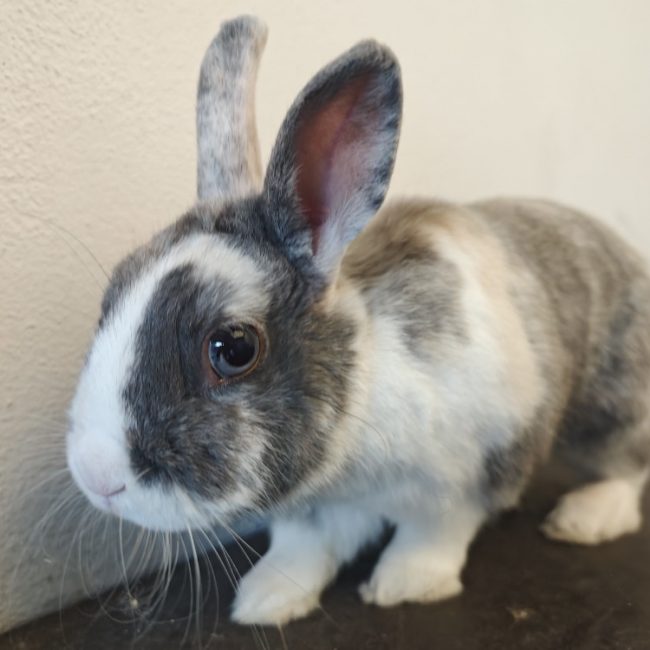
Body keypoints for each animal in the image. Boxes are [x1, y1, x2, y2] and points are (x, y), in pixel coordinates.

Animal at [66, 15, 650, 626]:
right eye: (111, 295)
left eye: (232, 347)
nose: (97, 476)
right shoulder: (314, 509)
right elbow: (302, 551)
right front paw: (264, 600)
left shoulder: (466, 477)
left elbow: (432, 537)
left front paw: (402, 584)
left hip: (608, 405)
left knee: (629, 464)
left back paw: (584, 518)